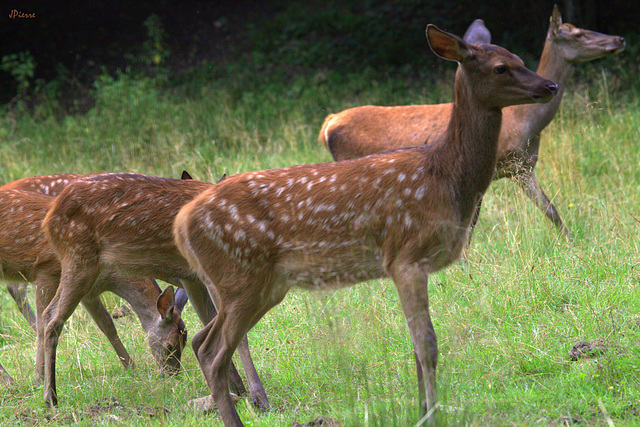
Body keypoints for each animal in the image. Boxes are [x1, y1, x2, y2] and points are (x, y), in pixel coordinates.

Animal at [0, 191, 190, 384]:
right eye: (170, 345)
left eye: (185, 341)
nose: (172, 375)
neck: (110, 275)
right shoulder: (46, 272)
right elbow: (41, 325)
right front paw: (38, 379)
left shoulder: (89, 292)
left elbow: (107, 325)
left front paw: (131, 368)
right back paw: (10, 380)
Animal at [39, 173, 270, 412]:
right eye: (169, 345)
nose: (171, 374)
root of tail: (49, 218)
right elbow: (238, 334)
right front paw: (258, 397)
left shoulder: (192, 279)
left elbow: (210, 320)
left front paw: (237, 387)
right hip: (79, 259)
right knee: (52, 318)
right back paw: (50, 396)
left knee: (48, 314)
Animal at [172, 25, 556, 426]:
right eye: (501, 68)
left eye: (520, 59)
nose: (550, 86)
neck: (444, 176)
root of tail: (182, 223)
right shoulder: (406, 256)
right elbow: (427, 345)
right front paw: (430, 414)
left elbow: (416, 346)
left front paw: (423, 409)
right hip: (241, 278)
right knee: (213, 353)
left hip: (257, 286)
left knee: (201, 341)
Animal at [318, 5, 624, 241]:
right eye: (578, 33)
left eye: (521, 59)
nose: (619, 39)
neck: (526, 123)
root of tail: (328, 124)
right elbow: (473, 223)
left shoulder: (523, 165)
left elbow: (551, 209)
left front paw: (574, 242)